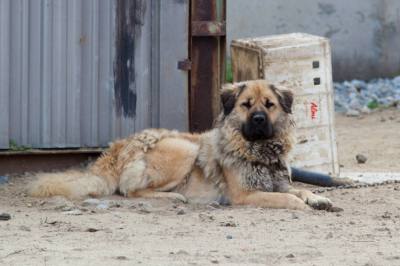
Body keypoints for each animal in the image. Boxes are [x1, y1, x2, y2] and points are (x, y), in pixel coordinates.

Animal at [28, 79, 332, 210]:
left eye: (269, 105)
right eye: (246, 105)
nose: (258, 119)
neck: (258, 151)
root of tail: (118, 149)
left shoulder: (279, 183)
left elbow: (300, 189)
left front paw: (319, 198)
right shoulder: (245, 195)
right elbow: (288, 198)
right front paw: (305, 205)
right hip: (186, 149)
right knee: (130, 191)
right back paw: (174, 197)